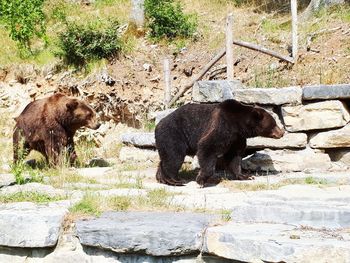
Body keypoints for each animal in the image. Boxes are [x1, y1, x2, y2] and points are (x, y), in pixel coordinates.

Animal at [155, 99, 284, 188]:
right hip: (173, 134)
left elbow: (234, 157)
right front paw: (201, 180)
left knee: (166, 157)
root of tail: (157, 125)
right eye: (274, 123)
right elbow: (207, 147)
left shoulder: (236, 138)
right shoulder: (222, 127)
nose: (282, 132)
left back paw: (162, 178)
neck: (238, 125)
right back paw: (175, 180)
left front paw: (246, 176)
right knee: (174, 157)